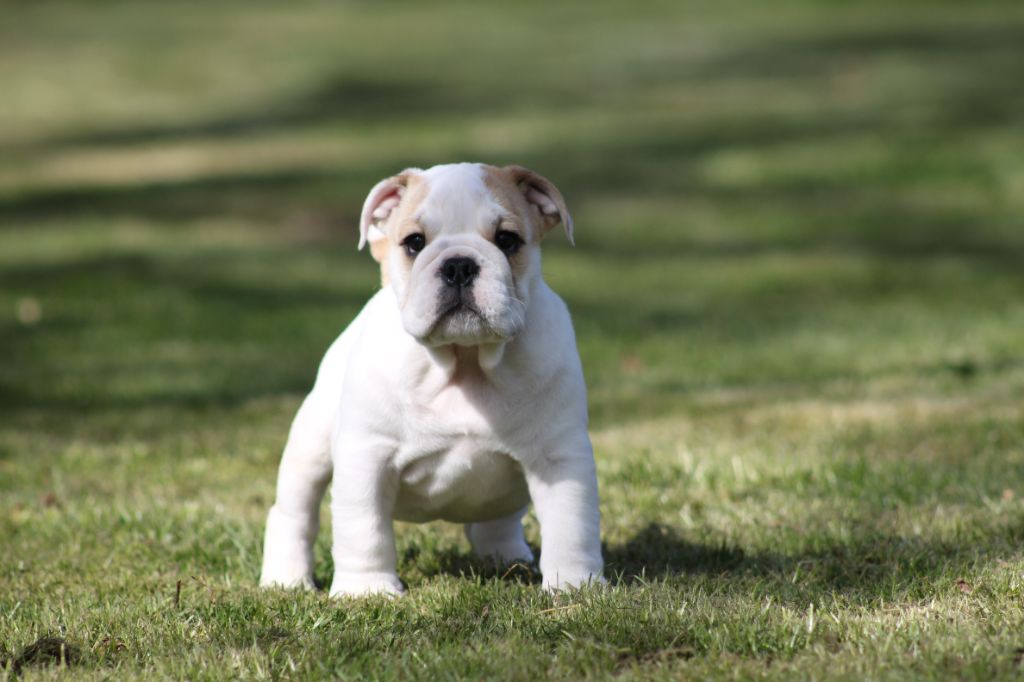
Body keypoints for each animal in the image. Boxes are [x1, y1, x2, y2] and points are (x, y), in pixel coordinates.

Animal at [260, 161, 602, 593]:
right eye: (414, 242)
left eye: (507, 240)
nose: (459, 265)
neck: (465, 361)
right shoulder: (367, 456)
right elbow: (363, 529)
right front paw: (366, 590)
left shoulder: (559, 457)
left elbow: (572, 526)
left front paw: (576, 585)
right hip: (309, 449)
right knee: (294, 513)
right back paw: (286, 579)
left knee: (497, 519)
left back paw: (506, 556)